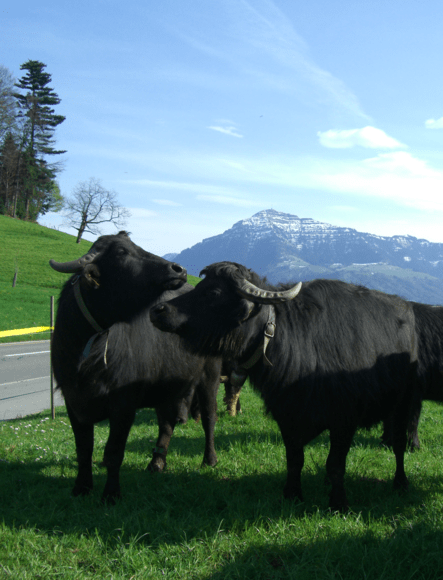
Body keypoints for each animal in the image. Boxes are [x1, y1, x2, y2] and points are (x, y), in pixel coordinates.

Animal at [50, 231, 222, 502]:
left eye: (135, 245)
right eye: (122, 253)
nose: (178, 269)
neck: (87, 353)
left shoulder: (124, 404)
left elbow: (113, 452)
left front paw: (111, 494)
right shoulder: (73, 402)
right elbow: (83, 449)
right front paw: (81, 487)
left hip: (210, 377)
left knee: (208, 417)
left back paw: (209, 459)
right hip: (167, 388)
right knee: (167, 424)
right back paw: (157, 463)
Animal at [151, 260, 422, 510]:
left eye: (214, 292)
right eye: (201, 286)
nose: (158, 310)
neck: (296, 343)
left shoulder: (344, 420)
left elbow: (335, 464)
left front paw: (338, 502)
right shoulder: (286, 416)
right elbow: (295, 460)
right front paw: (292, 494)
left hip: (404, 403)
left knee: (399, 443)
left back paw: (401, 482)